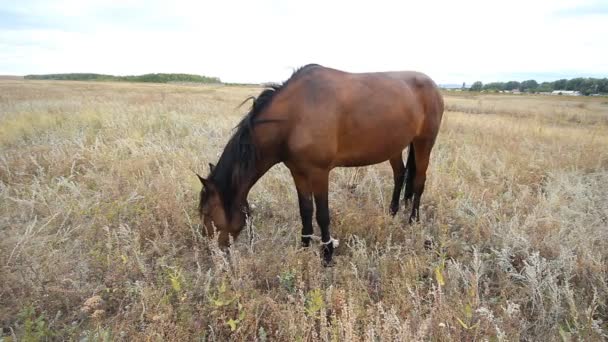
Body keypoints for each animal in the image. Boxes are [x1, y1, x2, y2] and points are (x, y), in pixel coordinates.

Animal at [197, 63, 444, 264]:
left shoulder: (319, 172)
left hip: (424, 142)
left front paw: (327, 254)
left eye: (207, 213)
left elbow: (322, 214)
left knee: (419, 180)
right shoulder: (298, 172)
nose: (211, 253)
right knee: (400, 174)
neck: (295, 115)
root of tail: (433, 85)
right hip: (395, 145)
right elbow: (305, 210)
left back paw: (412, 220)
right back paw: (392, 213)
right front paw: (304, 246)